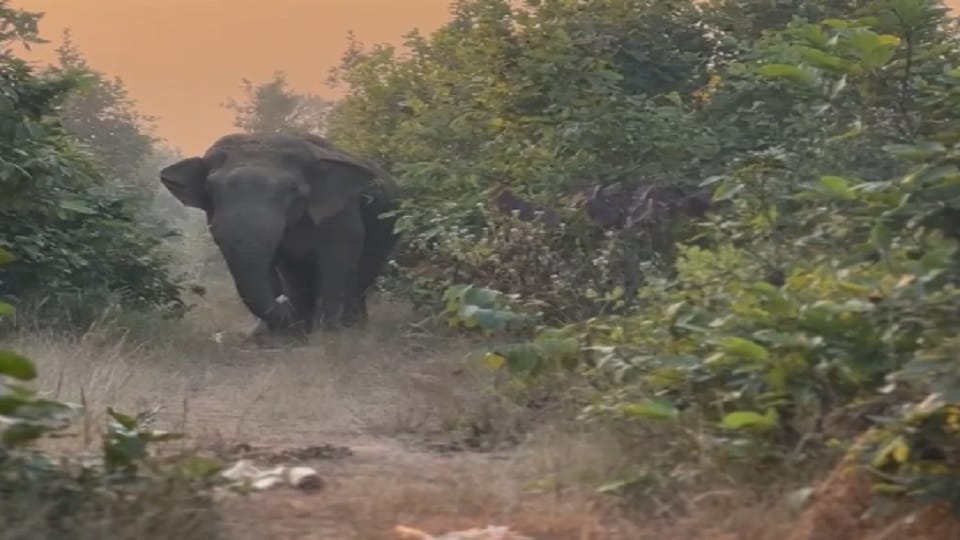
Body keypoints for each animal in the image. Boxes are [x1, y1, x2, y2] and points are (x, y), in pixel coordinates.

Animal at [159, 132, 400, 337]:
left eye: (292, 189)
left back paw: (353, 327)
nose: (283, 303)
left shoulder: (341, 211)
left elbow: (337, 259)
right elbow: (279, 265)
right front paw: (290, 336)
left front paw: (330, 336)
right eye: (210, 189)